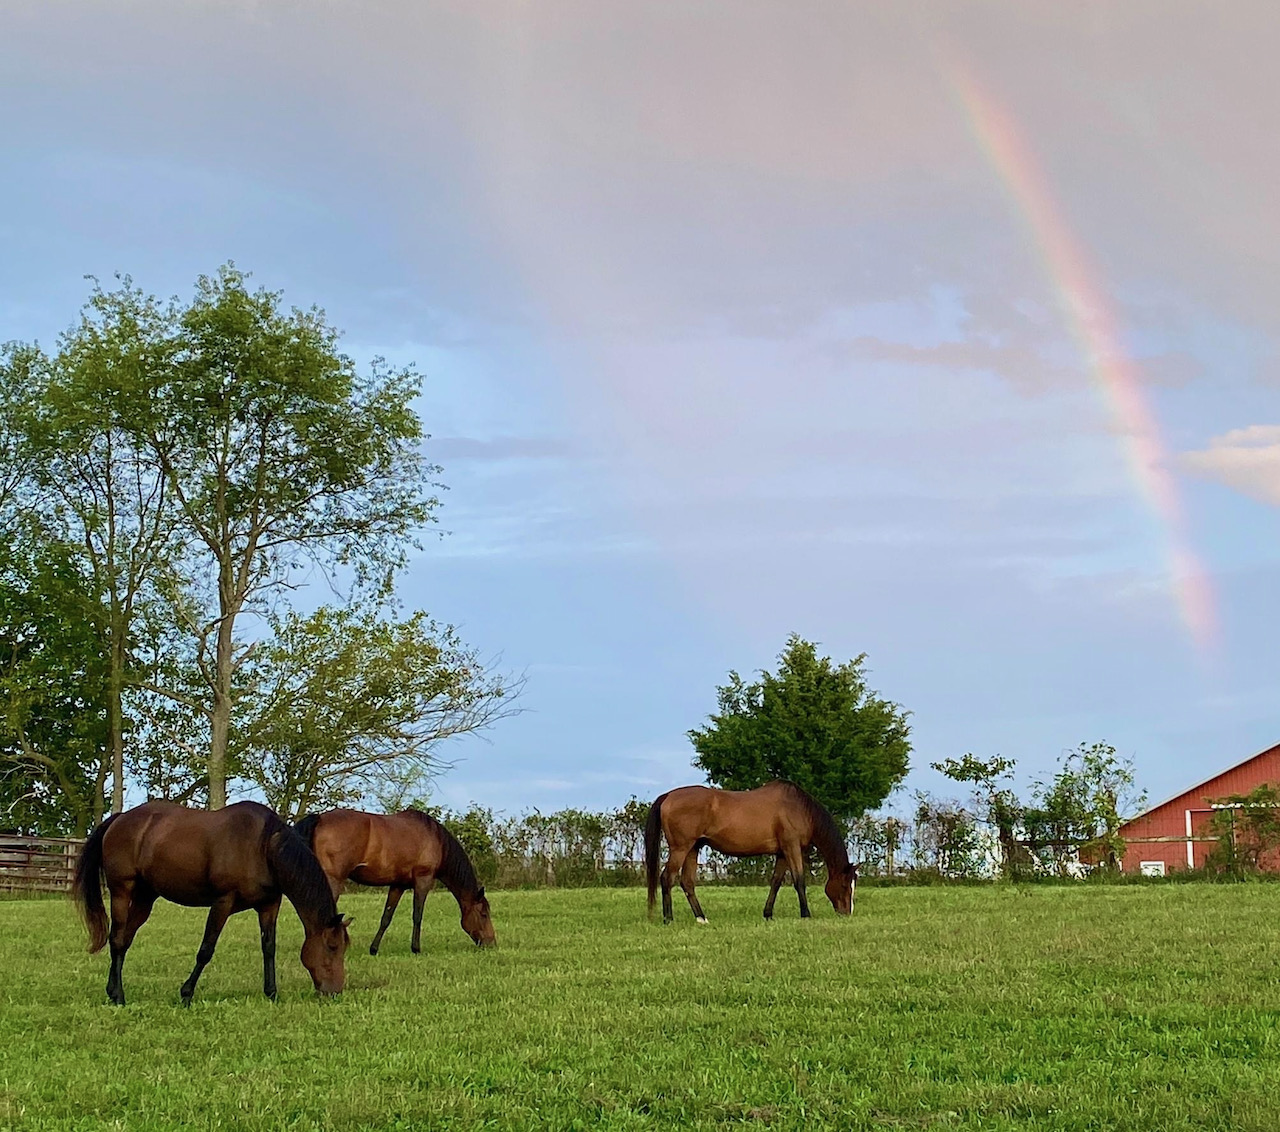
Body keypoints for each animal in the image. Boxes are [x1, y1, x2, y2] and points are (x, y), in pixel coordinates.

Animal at [73, 800, 351, 1006]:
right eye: (332, 947)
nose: (335, 991)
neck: (262, 847)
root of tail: (119, 819)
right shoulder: (223, 902)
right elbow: (206, 949)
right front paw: (186, 994)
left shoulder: (269, 905)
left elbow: (269, 948)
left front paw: (271, 993)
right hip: (122, 891)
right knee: (117, 940)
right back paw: (118, 996)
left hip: (145, 897)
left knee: (126, 940)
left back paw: (113, 991)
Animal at [294, 808, 495, 952]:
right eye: (484, 914)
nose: (491, 943)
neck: (435, 839)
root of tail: (320, 819)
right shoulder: (423, 880)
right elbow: (417, 915)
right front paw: (416, 948)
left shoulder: (398, 885)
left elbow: (386, 917)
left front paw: (374, 949)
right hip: (333, 881)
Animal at [644, 781, 857, 924]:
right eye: (845, 885)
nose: (847, 912)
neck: (799, 809)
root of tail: (668, 796)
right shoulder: (792, 847)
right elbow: (799, 881)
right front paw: (806, 914)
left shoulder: (782, 853)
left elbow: (776, 882)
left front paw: (768, 914)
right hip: (680, 848)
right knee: (667, 878)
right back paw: (669, 919)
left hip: (692, 848)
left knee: (687, 882)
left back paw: (701, 918)